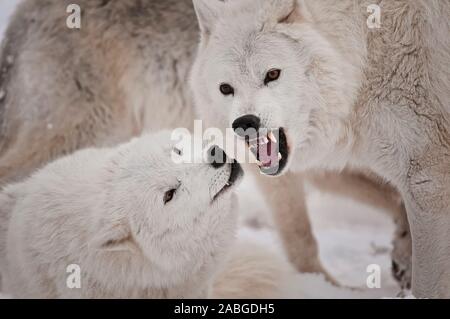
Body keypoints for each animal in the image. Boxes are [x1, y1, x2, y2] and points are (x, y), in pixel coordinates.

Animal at [0, 0, 412, 290]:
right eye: (227, 86)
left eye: (273, 74)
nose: (246, 125)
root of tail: (25, 14)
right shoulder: (274, 170)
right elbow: (301, 238)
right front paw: (327, 287)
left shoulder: (323, 167)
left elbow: (395, 197)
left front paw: (404, 255)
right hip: (86, 130)